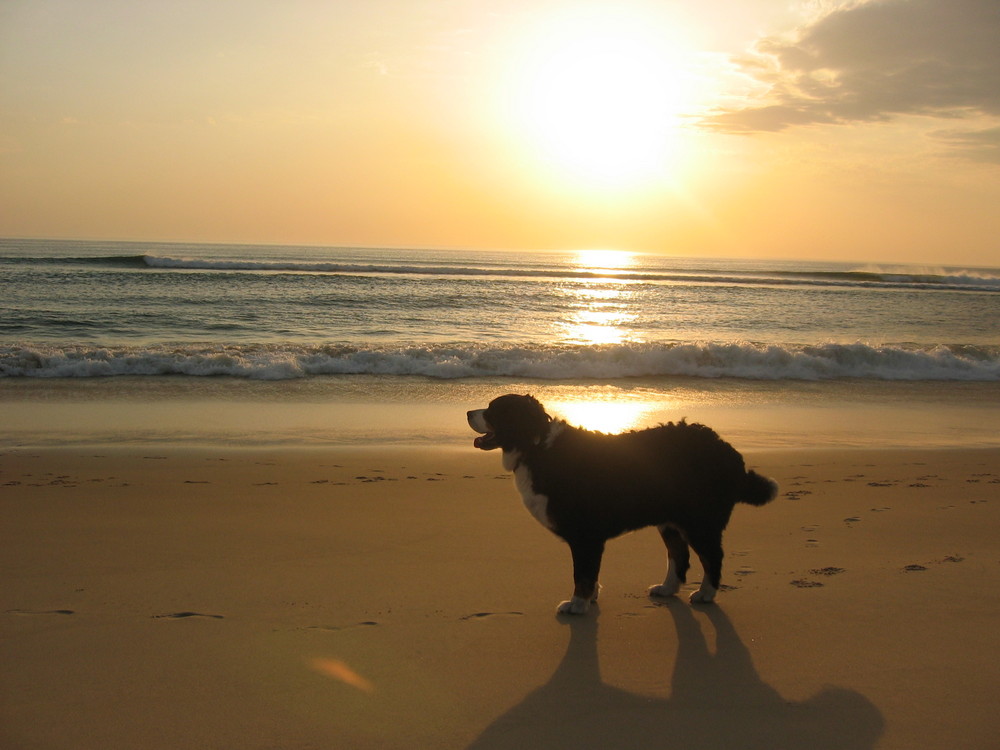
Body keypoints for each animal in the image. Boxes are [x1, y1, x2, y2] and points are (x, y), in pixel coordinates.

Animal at [468, 396, 780, 612]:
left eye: (493, 409)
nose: (469, 412)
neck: (535, 447)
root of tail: (727, 451)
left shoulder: (585, 536)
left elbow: (582, 573)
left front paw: (578, 605)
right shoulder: (589, 539)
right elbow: (589, 573)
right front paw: (590, 598)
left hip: (699, 521)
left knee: (712, 557)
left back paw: (706, 594)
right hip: (670, 521)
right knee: (679, 556)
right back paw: (667, 588)